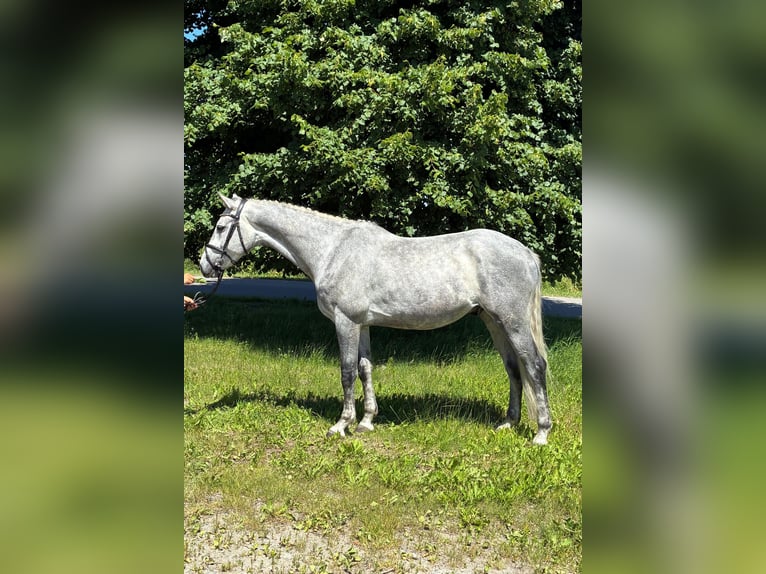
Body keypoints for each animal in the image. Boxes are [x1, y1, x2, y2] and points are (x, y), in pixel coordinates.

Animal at [200, 194, 552, 445]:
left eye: (220, 227)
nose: (204, 265)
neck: (333, 250)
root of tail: (525, 253)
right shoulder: (363, 324)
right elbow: (365, 369)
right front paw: (367, 421)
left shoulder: (345, 322)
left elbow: (346, 372)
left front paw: (341, 425)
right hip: (494, 321)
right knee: (513, 369)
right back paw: (508, 423)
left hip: (513, 321)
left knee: (533, 365)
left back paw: (541, 433)